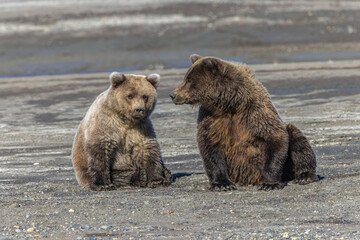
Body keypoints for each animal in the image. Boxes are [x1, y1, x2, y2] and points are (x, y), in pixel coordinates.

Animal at [170, 54, 316, 191]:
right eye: (185, 78)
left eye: (189, 80)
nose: (173, 95)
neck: (229, 103)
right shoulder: (211, 118)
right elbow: (210, 145)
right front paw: (222, 184)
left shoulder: (254, 112)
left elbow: (274, 137)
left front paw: (269, 184)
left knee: (297, 138)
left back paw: (305, 176)